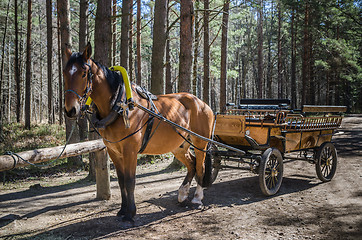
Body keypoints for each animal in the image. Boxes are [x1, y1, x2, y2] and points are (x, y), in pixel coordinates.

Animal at [63, 42, 214, 221]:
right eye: (64, 72)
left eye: (84, 74)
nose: (70, 110)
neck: (119, 105)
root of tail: (202, 103)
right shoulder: (114, 151)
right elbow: (121, 181)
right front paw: (122, 209)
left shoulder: (130, 150)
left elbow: (130, 181)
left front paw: (131, 213)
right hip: (179, 145)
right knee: (191, 164)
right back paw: (183, 194)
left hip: (200, 143)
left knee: (200, 166)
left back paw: (197, 198)